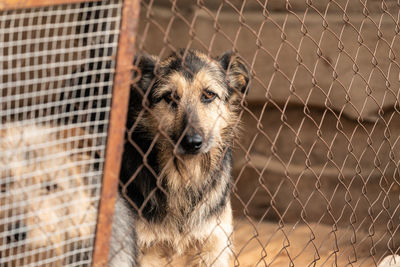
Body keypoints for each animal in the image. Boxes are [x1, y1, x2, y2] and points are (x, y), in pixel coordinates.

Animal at [120, 49, 248, 266]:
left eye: (209, 95)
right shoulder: (145, 250)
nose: (192, 142)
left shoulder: (213, 245)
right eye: (170, 97)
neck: (184, 176)